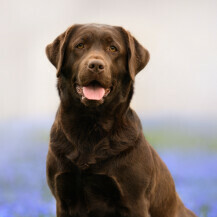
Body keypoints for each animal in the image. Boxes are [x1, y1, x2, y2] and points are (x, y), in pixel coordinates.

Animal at [45, 23, 197, 217]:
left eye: (113, 48)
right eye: (80, 45)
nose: (96, 65)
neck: (90, 126)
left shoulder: (134, 201)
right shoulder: (63, 198)